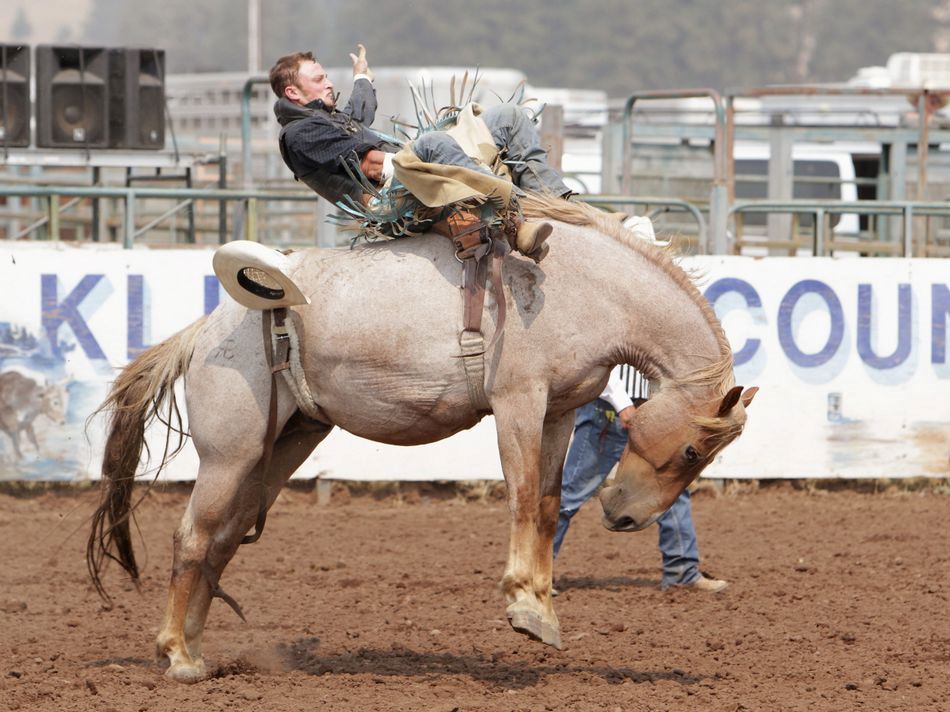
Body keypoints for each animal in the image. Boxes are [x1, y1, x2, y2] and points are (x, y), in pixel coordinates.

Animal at [86, 195, 756, 683]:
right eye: (692, 451)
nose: (624, 517)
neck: (587, 286)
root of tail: (205, 329)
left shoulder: (560, 410)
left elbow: (545, 504)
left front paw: (544, 609)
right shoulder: (518, 399)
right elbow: (521, 496)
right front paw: (523, 606)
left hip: (282, 446)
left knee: (222, 539)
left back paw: (195, 651)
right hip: (231, 453)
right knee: (192, 537)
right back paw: (176, 656)